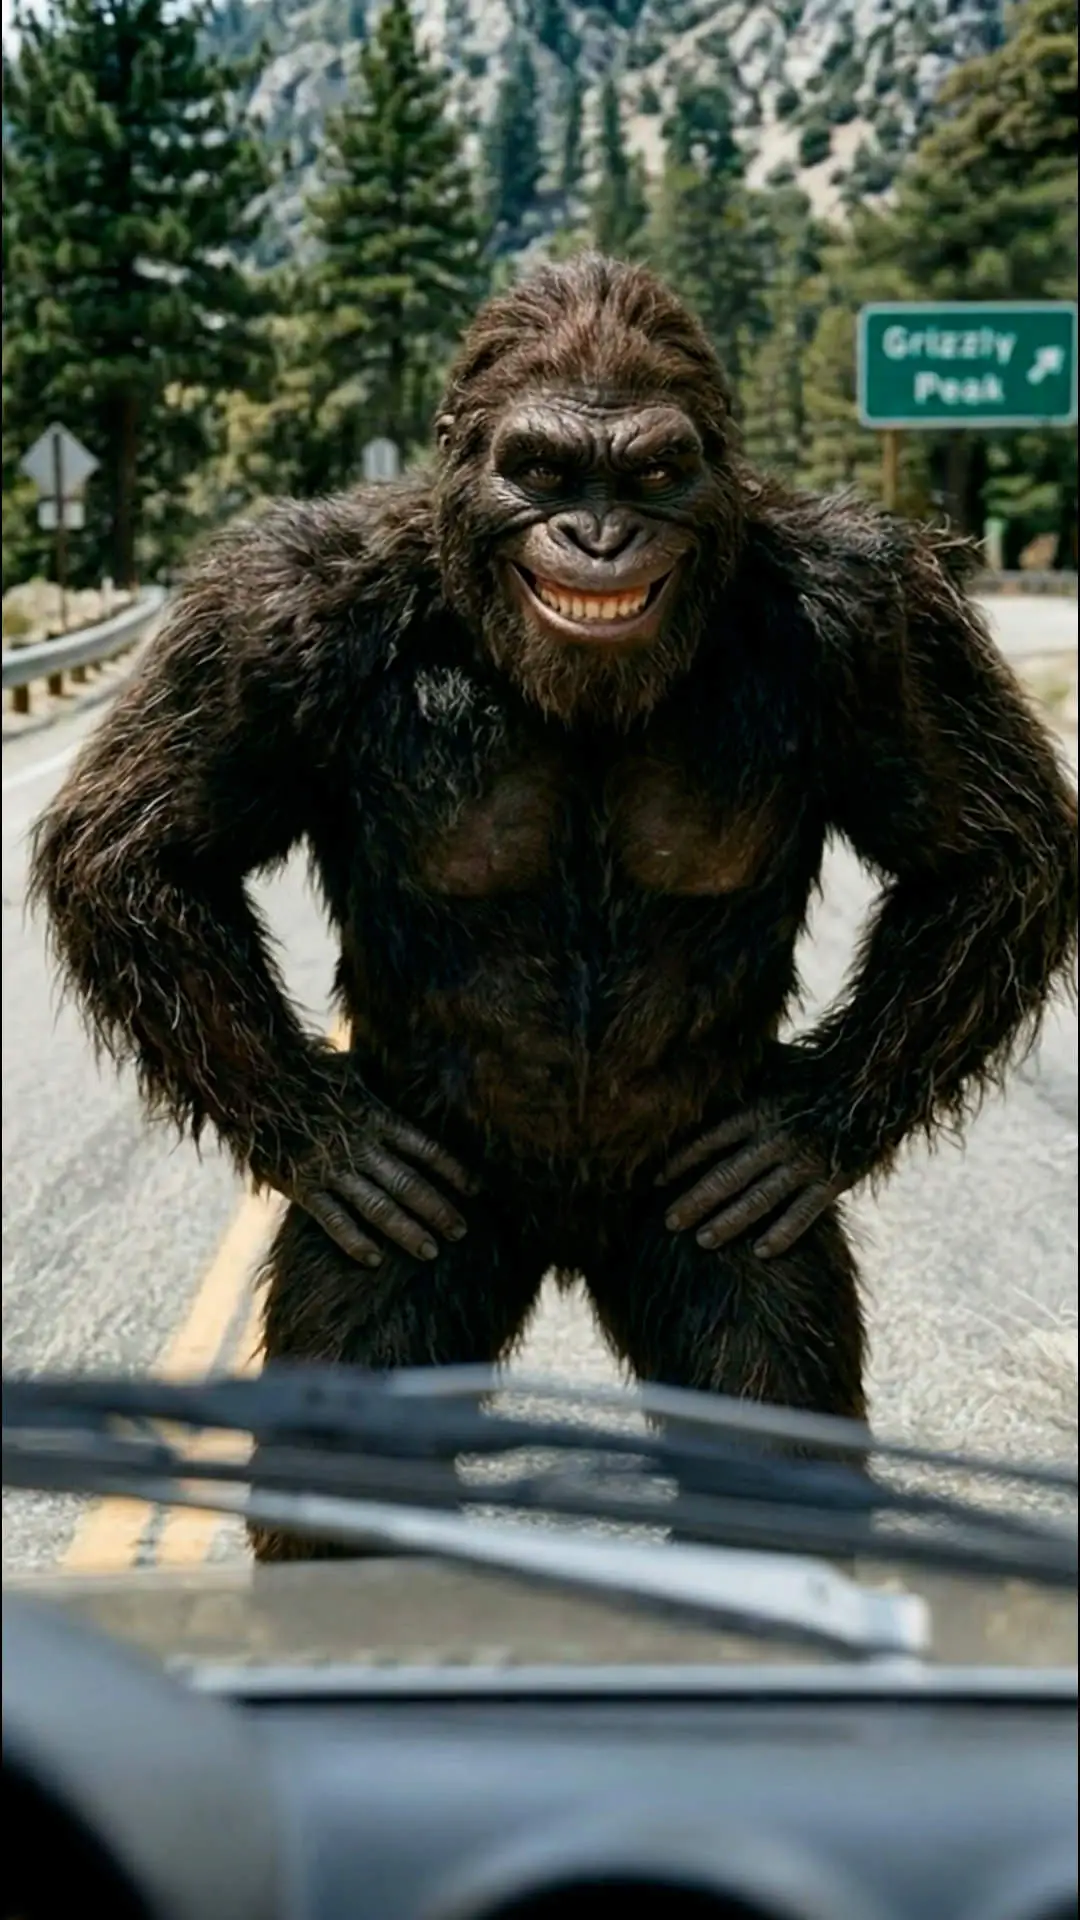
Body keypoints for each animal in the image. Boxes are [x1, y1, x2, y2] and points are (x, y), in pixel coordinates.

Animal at [29, 254, 1078, 1561]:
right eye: (539, 470)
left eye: (653, 473)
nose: (598, 532)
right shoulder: (268, 612)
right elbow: (134, 854)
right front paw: (330, 1138)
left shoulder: (881, 617)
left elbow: (996, 853)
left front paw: (805, 1128)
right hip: (428, 1228)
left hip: (707, 1220)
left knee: (769, 1414)